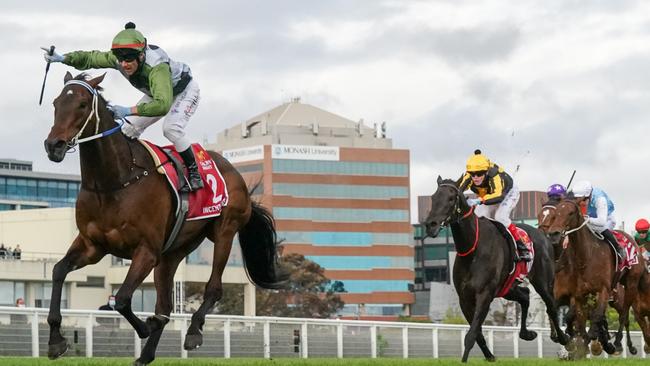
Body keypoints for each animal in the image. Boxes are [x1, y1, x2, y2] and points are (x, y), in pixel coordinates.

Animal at [43, 73, 286, 364]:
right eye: (56, 103)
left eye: (81, 105)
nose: (53, 145)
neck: (115, 181)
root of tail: (235, 173)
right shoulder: (93, 246)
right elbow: (58, 271)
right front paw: (56, 341)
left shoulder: (146, 251)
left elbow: (121, 298)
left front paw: (145, 326)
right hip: (172, 253)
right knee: (165, 304)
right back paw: (146, 354)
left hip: (225, 231)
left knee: (213, 287)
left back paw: (192, 332)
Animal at [420, 178, 568, 364]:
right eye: (433, 197)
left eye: (451, 199)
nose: (430, 225)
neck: (473, 249)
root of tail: (544, 235)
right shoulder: (464, 298)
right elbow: (477, 334)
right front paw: (489, 356)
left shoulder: (485, 294)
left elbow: (472, 334)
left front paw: (465, 359)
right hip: (507, 288)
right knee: (525, 295)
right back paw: (527, 333)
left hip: (543, 282)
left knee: (551, 306)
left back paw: (562, 337)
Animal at [536, 202, 636, 356]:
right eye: (539, 215)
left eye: (551, 216)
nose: (550, 235)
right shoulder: (560, 295)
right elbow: (552, 312)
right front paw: (562, 337)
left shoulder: (578, 295)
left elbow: (572, 317)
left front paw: (573, 340)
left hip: (619, 298)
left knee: (623, 317)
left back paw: (621, 345)